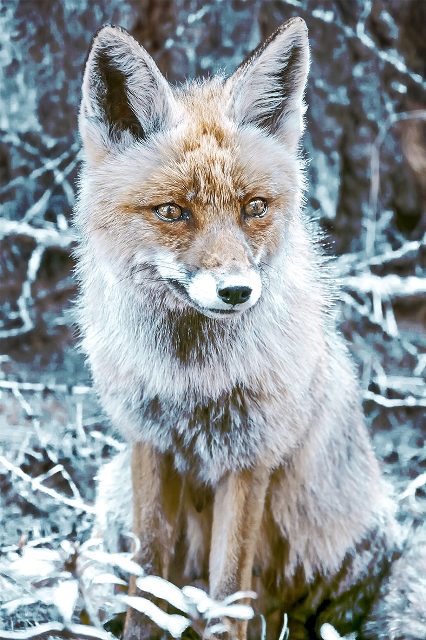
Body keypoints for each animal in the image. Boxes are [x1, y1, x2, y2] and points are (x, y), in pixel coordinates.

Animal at [74, 17, 424, 640]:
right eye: (173, 212)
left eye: (254, 207)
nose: (237, 291)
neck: (192, 379)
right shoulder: (148, 440)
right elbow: (146, 576)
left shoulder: (249, 458)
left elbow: (228, 595)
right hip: (108, 512)